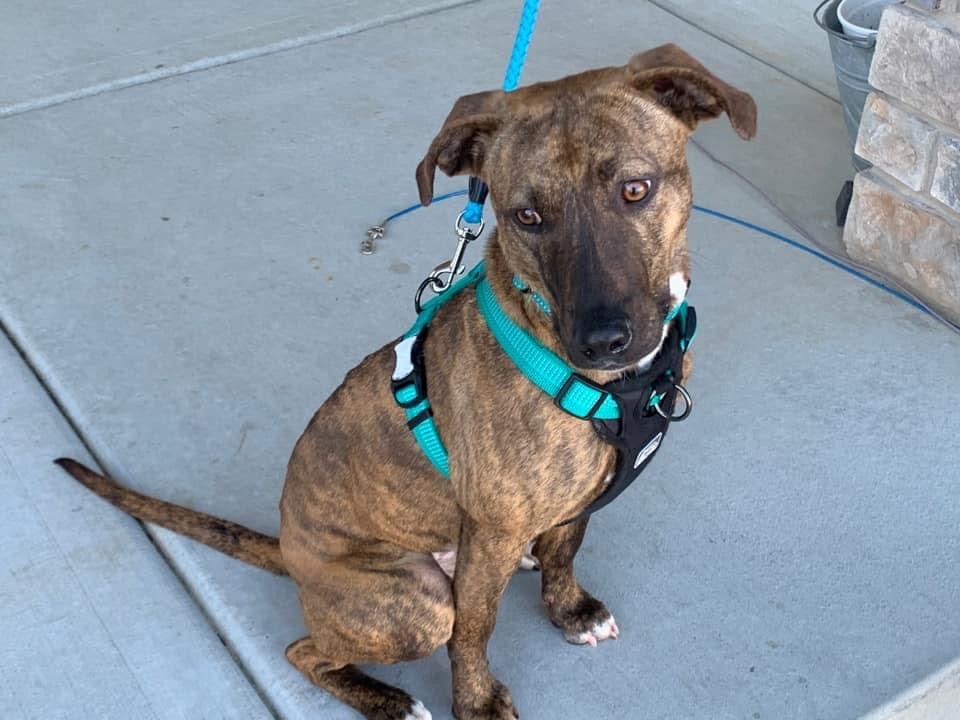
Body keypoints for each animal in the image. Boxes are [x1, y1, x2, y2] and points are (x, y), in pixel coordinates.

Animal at [56, 45, 752, 720]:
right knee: (310, 650)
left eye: (636, 188)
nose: (603, 341)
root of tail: (290, 553)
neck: (621, 384)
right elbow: (474, 631)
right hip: (415, 599)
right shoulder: (488, 540)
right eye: (526, 215)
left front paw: (569, 608)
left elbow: (564, 549)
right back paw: (389, 701)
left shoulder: (568, 503)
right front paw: (476, 702)